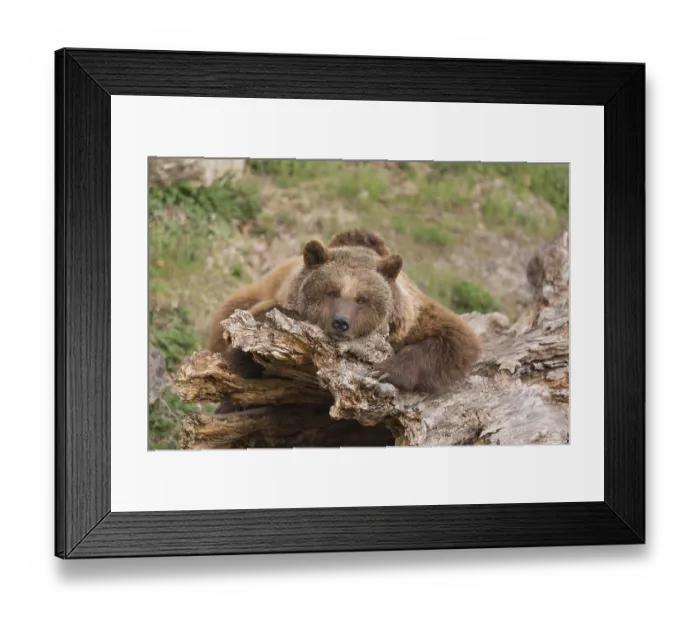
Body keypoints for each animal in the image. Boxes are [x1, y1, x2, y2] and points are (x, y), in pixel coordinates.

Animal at [208, 229, 482, 413]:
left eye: (362, 298)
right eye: (332, 292)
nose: (341, 322)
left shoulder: (413, 319)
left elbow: (455, 338)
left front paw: (386, 370)